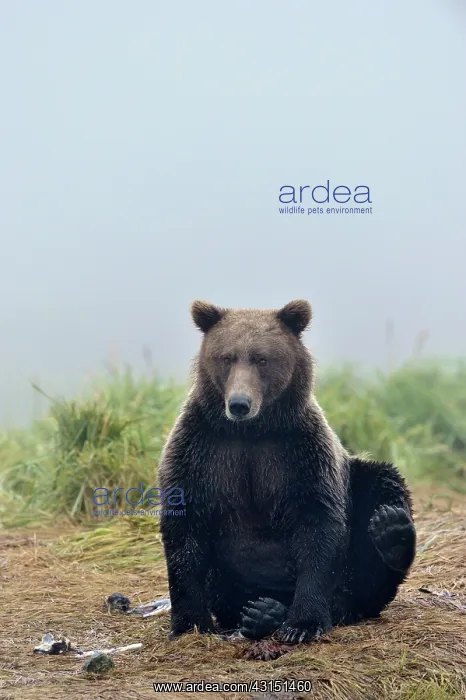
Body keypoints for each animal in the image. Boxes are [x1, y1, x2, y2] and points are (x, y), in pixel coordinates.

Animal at [158, 299, 416, 644]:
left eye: (262, 358)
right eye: (226, 357)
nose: (239, 404)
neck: (252, 432)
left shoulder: (299, 454)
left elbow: (317, 525)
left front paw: (303, 623)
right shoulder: (201, 451)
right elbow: (184, 530)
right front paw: (190, 624)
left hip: (358, 489)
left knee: (380, 488)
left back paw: (391, 532)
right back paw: (263, 612)